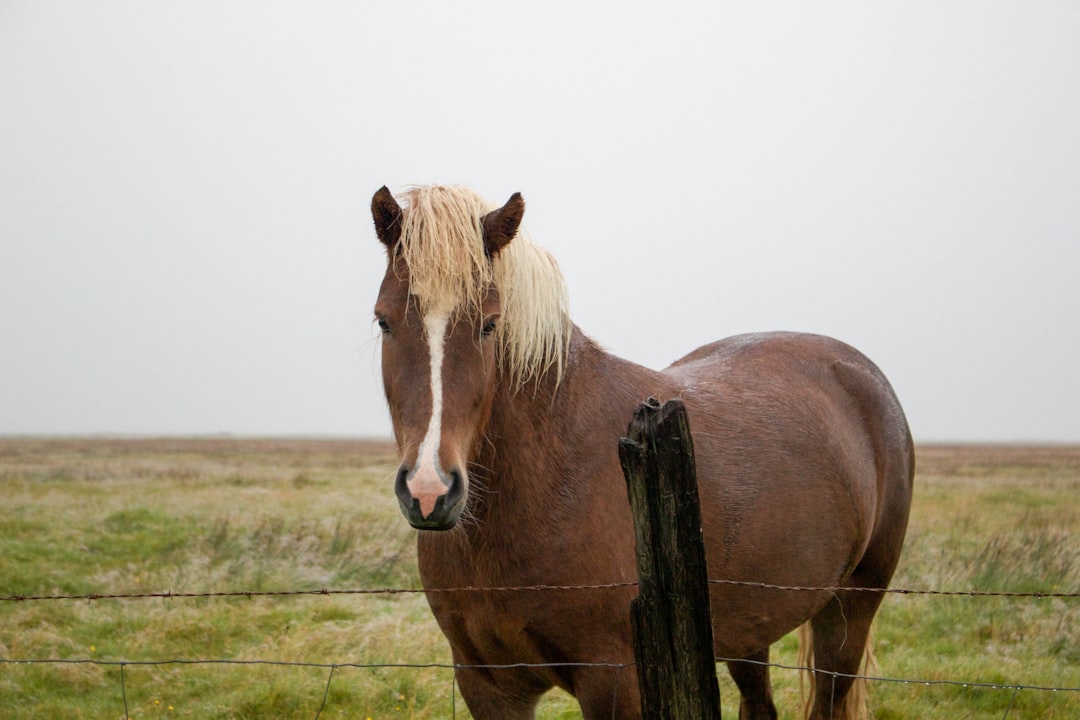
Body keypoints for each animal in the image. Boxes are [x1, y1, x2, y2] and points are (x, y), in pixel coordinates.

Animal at [369, 185, 911, 720]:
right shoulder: (488, 684)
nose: (429, 490)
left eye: (490, 324)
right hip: (750, 628)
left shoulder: (615, 682)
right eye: (383, 322)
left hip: (850, 611)